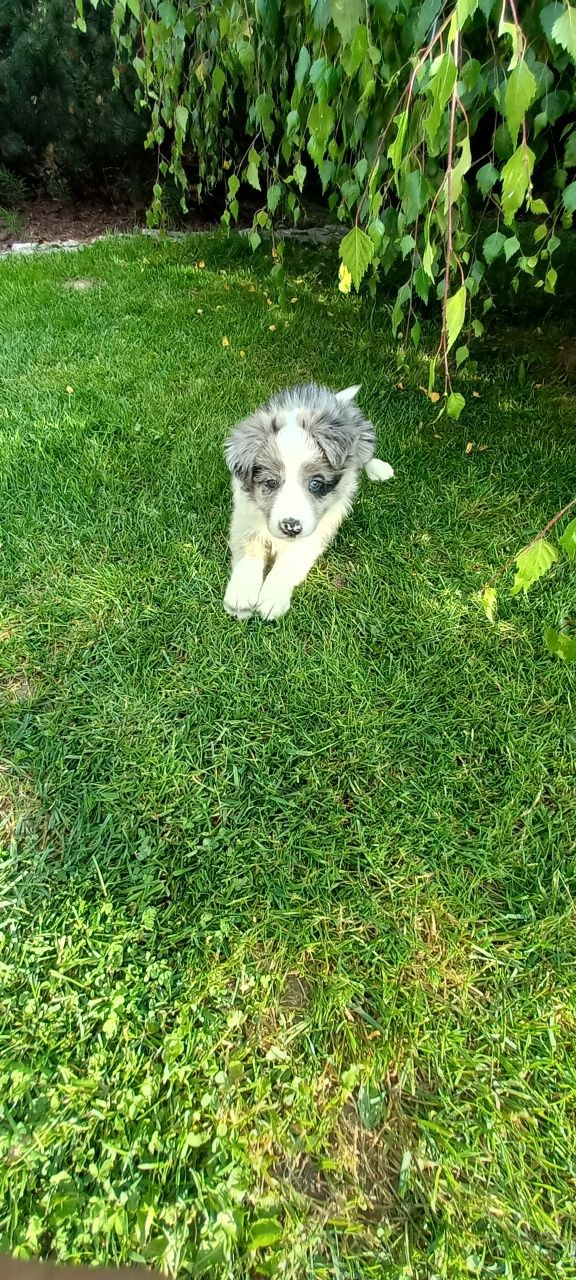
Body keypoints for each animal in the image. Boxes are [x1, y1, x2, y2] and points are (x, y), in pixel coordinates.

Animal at [222, 378, 394, 619]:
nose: (291, 527)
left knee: (365, 456)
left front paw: (271, 599)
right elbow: (248, 551)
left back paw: (379, 469)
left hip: (364, 436)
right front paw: (241, 596)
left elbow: (288, 563)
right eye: (271, 483)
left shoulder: (315, 531)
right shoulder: (245, 516)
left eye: (316, 484)